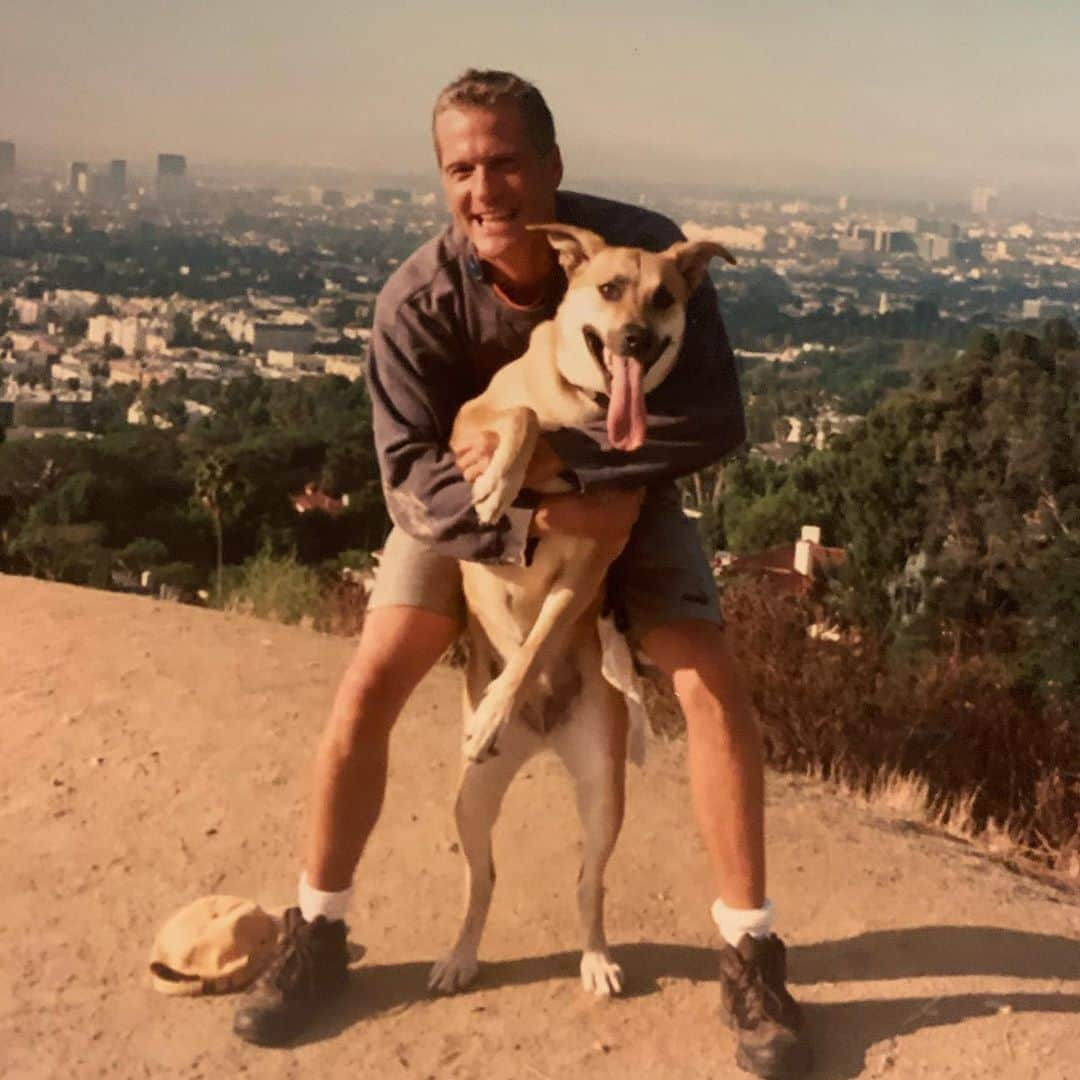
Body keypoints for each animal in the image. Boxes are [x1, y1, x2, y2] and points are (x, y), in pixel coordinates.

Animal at [429, 225, 734, 993]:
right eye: (609, 288)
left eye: (664, 297)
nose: (634, 339)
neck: (587, 408)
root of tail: (541, 740)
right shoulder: (466, 424)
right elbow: (520, 414)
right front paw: (498, 484)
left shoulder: (593, 556)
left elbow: (538, 639)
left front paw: (504, 698)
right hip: (470, 799)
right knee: (481, 879)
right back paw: (459, 955)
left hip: (603, 788)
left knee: (587, 885)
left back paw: (596, 959)